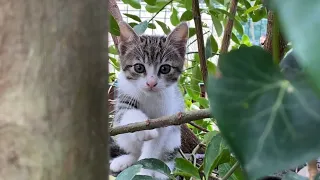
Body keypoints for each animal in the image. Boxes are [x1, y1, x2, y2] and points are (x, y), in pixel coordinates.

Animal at [109, 21, 188, 179]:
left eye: (165, 68)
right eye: (139, 67)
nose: (151, 83)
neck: (150, 96)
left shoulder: (167, 115)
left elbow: (153, 149)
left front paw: (145, 171)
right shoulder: (124, 98)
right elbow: (126, 113)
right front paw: (145, 130)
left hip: (173, 138)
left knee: (167, 154)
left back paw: (163, 171)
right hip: (123, 136)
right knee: (133, 148)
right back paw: (125, 160)